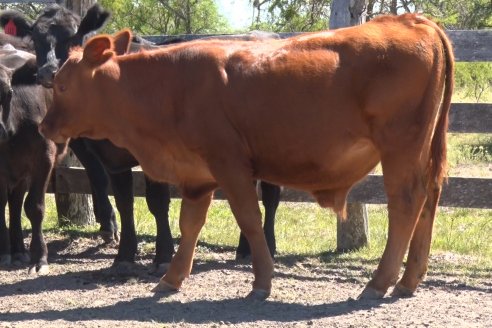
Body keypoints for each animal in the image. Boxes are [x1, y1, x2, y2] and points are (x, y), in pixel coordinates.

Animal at [38, 13, 454, 300]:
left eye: (62, 84)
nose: (43, 126)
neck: (170, 84)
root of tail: (411, 20)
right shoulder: (197, 174)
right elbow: (190, 224)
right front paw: (172, 277)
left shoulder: (230, 165)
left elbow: (250, 221)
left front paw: (262, 280)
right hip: (424, 149)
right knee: (430, 198)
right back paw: (409, 279)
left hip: (400, 145)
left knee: (407, 202)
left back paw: (380, 282)